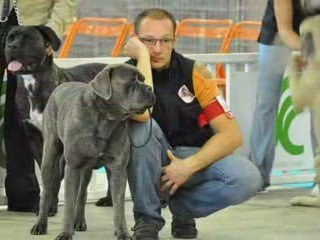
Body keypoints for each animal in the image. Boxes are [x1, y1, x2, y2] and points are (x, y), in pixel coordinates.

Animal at [30, 62, 156, 239]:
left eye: (143, 79)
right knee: (47, 191)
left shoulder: (118, 169)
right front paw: (65, 233)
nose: (149, 88)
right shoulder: (73, 168)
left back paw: (79, 221)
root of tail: (60, 86)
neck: (106, 119)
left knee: (82, 194)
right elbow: (68, 205)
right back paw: (40, 224)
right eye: (132, 81)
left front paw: (122, 232)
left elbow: (119, 207)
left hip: (86, 170)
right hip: (50, 156)